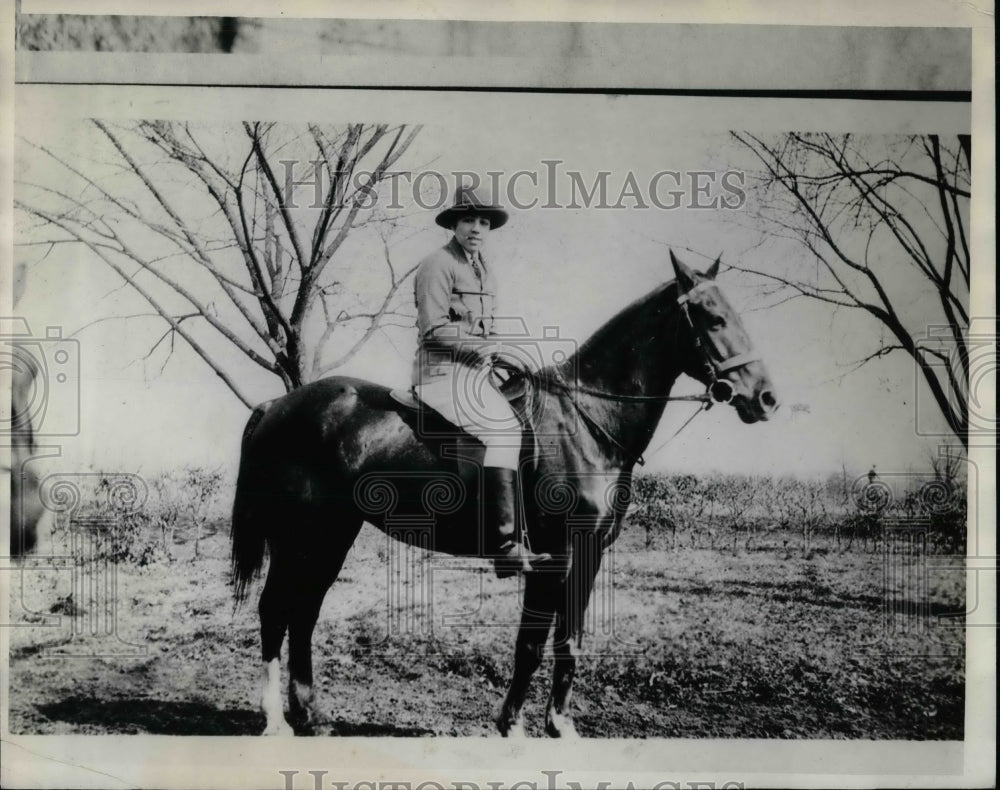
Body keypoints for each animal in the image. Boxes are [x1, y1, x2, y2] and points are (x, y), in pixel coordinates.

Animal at [230, 251, 779, 736]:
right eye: (712, 318)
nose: (766, 398)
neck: (585, 422)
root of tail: (278, 404)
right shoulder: (554, 555)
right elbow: (531, 645)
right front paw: (512, 725)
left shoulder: (589, 553)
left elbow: (569, 641)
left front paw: (559, 726)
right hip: (303, 536)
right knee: (276, 611)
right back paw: (277, 721)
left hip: (329, 536)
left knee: (303, 612)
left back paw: (311, 715)